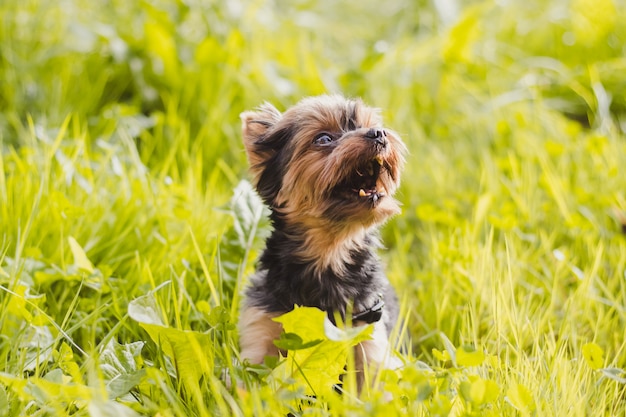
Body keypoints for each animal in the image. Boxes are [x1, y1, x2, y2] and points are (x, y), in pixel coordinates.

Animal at [236, 93, 402, 384]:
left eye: (371, 125)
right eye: (324, 139)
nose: (378, 133)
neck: (330, 253)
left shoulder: (367, 331)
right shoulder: (261, 327)